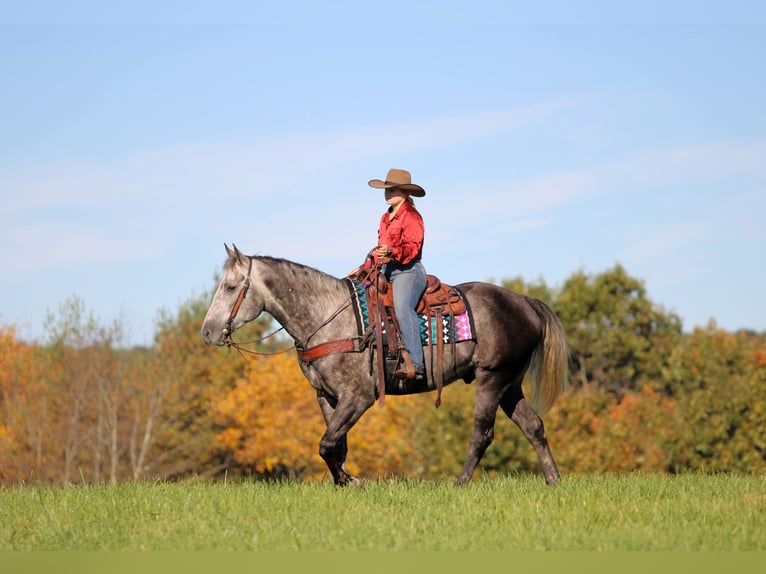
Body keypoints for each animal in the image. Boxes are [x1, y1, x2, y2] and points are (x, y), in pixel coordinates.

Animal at [201, 244, 569, 486]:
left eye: (230, 287)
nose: (207, 332)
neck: (327, 317)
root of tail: (524, 301)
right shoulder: (326, 396)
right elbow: (335, 444)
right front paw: (344, 480)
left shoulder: (359, 396)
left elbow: (327, 444)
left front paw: (350, 481)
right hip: (510, 383)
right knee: (533, 426)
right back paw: (553, 480)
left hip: (491, 379)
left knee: (482, 433)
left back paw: (461, 482)